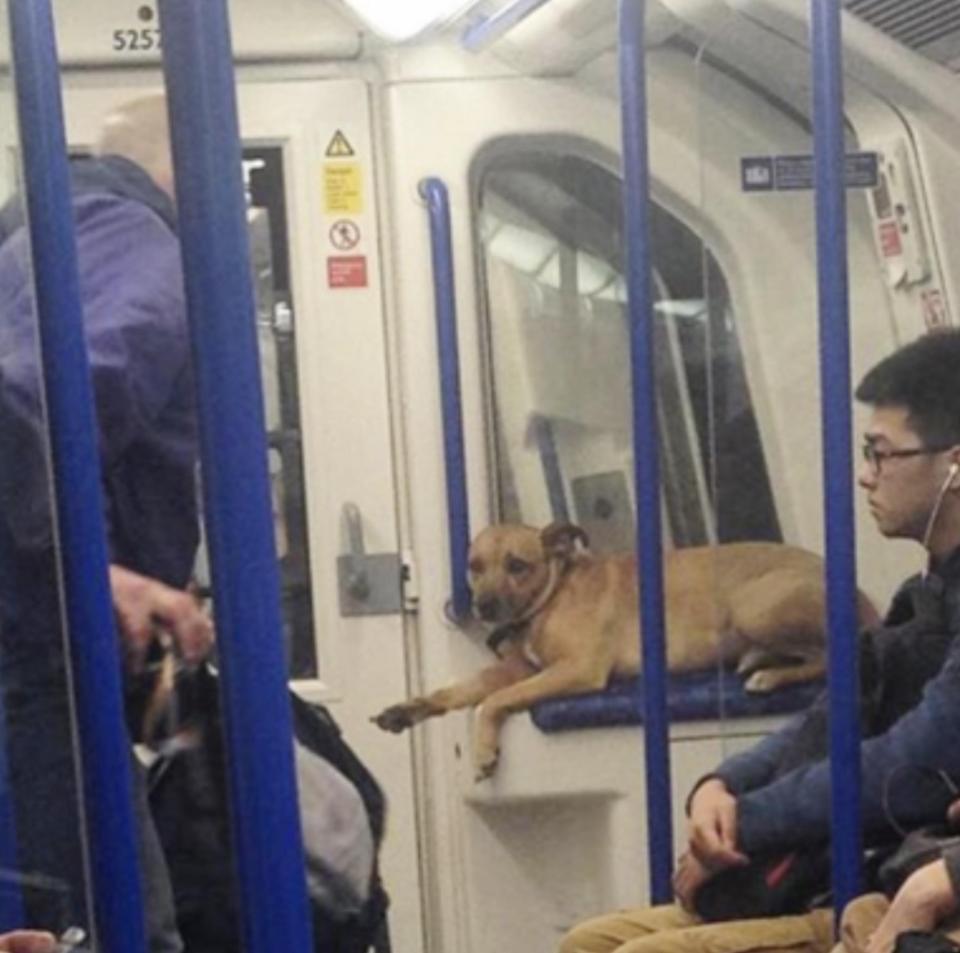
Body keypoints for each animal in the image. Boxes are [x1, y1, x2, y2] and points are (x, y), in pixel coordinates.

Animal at [372, 520, 880, 780]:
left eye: (517, 565)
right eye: (475, 566)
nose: (483, 606)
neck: (551, 597)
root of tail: (864, 596)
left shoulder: (576, 670)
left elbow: (492, 702)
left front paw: (483, 751)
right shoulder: (517, 669)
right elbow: (456, 692)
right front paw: (407, 709)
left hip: (752, 604)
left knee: (830, 655)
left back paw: (769, 673)